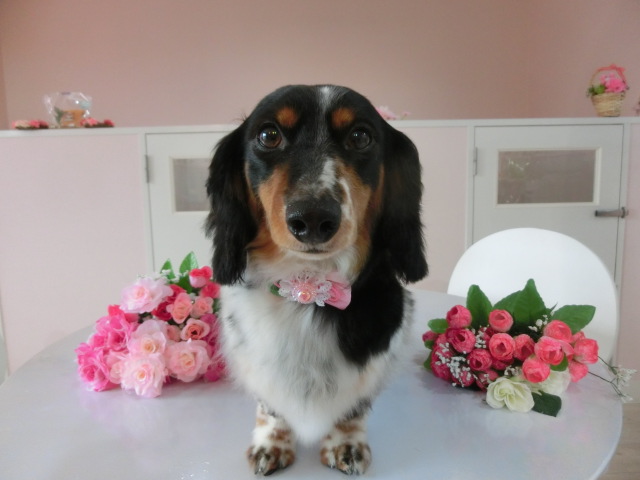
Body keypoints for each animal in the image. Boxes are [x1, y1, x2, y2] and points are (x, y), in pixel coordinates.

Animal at [206, 85, 427, 475]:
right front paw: (271, 443)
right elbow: (271, 407)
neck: (308, 286)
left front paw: (346, 445)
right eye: (268, 135)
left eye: (360, 136)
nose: (312, 218)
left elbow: (353, 407)